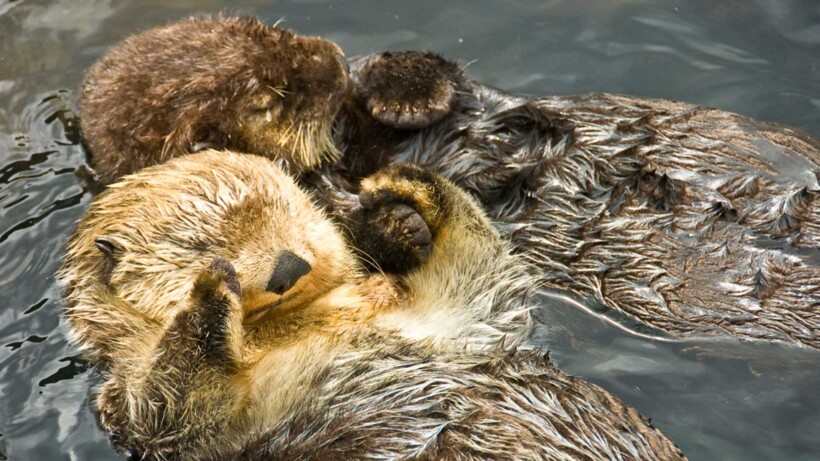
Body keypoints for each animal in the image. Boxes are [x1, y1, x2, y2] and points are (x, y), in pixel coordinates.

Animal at [59, 151, 683, 460]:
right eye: (201, 246)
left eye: (289, 209)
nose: (288, 267)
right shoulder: (146, 411)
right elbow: (174, 411)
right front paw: (211, 293)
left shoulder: (449, 321)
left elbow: (481, 276)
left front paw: (405, 189)